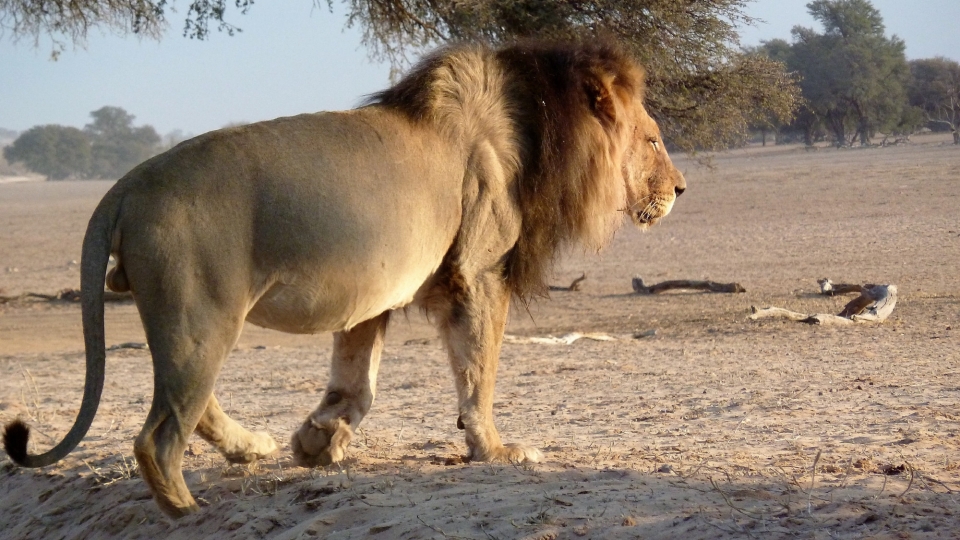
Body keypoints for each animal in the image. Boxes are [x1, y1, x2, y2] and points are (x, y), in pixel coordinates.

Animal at [3, 40, 688, 516]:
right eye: (654, 141)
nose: (682, 189)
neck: (538, 123)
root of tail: (125, 184)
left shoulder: (375, 292)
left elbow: (357, 380)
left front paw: (318, 441)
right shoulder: (476, 273)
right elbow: (479, 371)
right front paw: (496, 450)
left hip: (185, 321)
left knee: (188, 408)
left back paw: (252, 448)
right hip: (201, 314)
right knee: (159, 436)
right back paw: (188, 510)